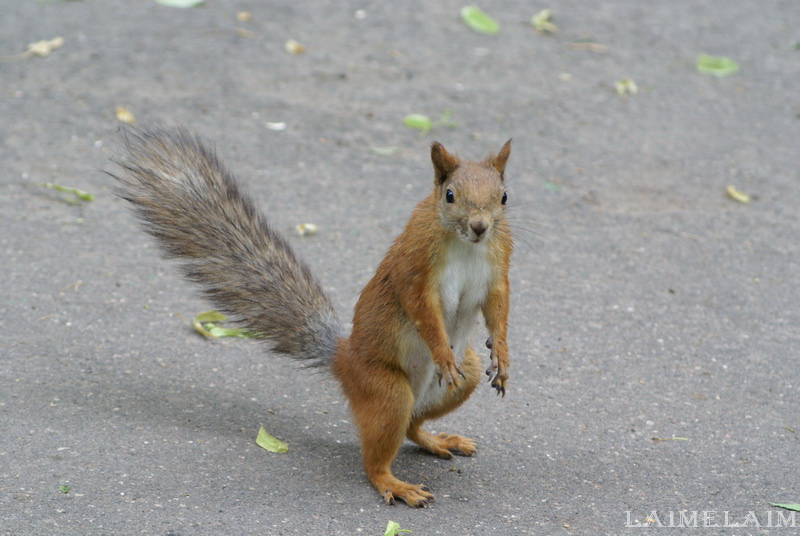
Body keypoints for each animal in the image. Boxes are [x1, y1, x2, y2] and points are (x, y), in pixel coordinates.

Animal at [111, 127, 513, 507]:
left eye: (504, 196)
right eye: (450, 195)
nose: (479, 226)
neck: (466, 245)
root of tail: (344, 360)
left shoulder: (497, 268)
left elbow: (499, 308)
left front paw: (502, 354)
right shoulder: (414, 268)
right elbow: (422, 311)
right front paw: (443, 354)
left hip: (465, 376)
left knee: (413, 425)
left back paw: (437, 439)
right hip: (387, 391)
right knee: (377, 457)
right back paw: (395, 484)